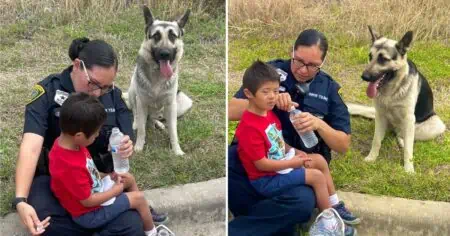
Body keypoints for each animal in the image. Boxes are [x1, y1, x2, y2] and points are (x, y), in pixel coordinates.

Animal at [125, 6, 191, 155]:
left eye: (173, 36)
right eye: (156, 36)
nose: (165, 54)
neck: (158, 76)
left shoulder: (171, 105)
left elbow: (173, 132)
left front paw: (177, 150)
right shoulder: (141, 102)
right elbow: (142, 130)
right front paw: (139, 146)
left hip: (184, 102)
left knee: (155, 118)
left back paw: (159, 123)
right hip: (132, 91)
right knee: (137, 114)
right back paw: (137, 122)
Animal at [346, 26, 444, 173]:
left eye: (383, 59)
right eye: (370, 57)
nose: (364, 77)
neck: (391, 92)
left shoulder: (409, 119)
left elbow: (409, 149)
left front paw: (409, 169)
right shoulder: (380, 116)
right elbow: (376, 140)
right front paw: (371, 158)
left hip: (434, 125)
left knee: (405, 137)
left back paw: (403, 142)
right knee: (397, 134)